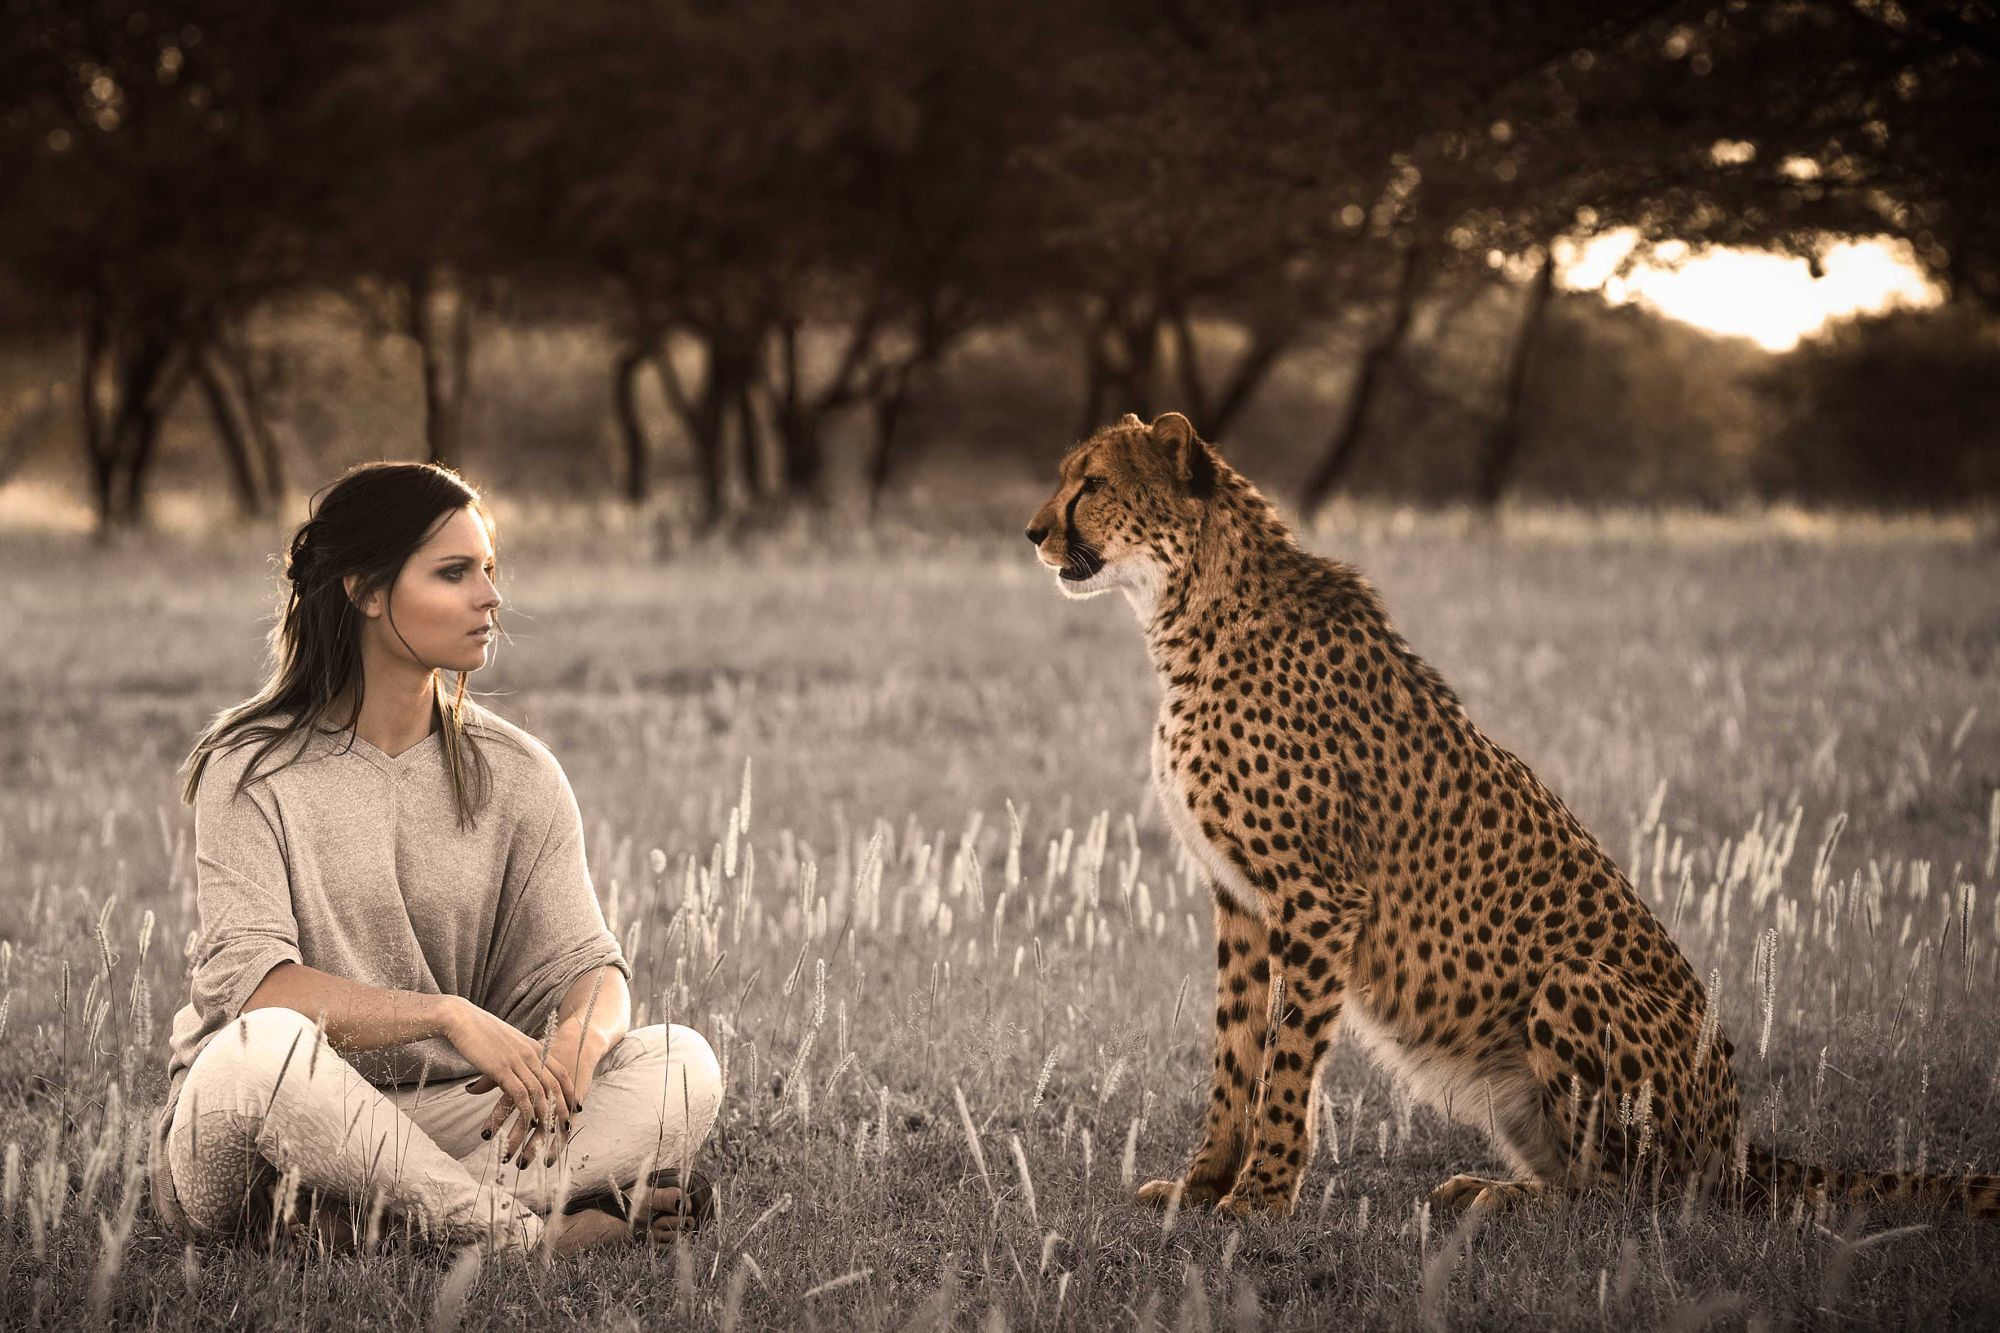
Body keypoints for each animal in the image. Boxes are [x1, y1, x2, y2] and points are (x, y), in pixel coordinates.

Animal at [1026, 410, 2000, 1222]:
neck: (1189, 611)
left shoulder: (1317, 896)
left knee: (1628, 1198)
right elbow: (1233, 1052)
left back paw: (1510, 1198)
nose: (1033, 532)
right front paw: (1201, 1185)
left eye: (1092, 483)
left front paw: (1261, 1196)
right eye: (1067, 477)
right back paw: (1486, 1185)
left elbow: (1286, 1058)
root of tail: (1739, 1144)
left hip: (1578, 986)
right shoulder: (1241, 897)